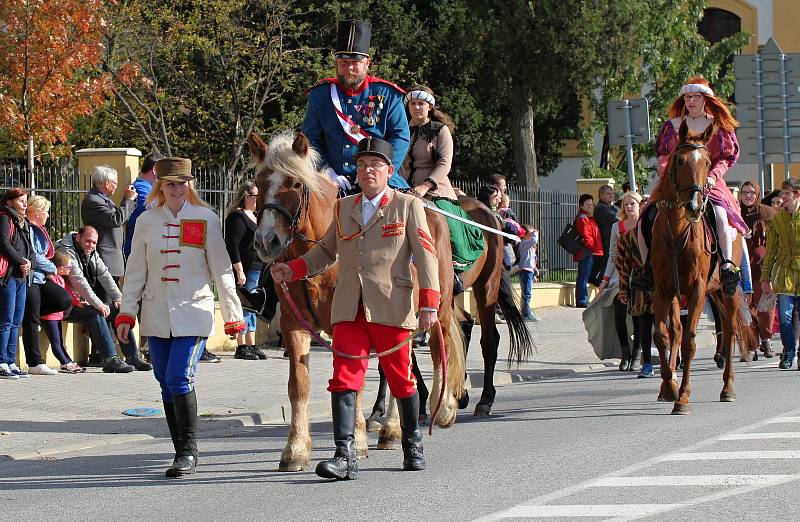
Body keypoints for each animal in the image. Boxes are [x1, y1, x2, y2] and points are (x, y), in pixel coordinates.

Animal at [247, 130, 466, 472]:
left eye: (295, 183)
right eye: (259, 181)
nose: (266, 241)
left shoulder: (351, 322)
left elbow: (357, 381)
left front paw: (357, 442)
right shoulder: (295, 325)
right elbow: (299, 385)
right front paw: (295, 448)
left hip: (434, 308)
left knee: (434, 346)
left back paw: (440, 410)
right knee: (399, 369)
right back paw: (391, 429)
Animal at [648, 120, 752, 412]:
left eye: (707, 162)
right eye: (680, 160)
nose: (694, 206)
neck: (676, 233)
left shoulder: (696, 289)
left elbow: (690, 341)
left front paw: (682, 397)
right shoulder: (663, 290)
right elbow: (661, 336)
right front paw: (668, 387)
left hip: (725, 290)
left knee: (729, 329)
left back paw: (727, 388)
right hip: (705, 292)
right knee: (677, 330)